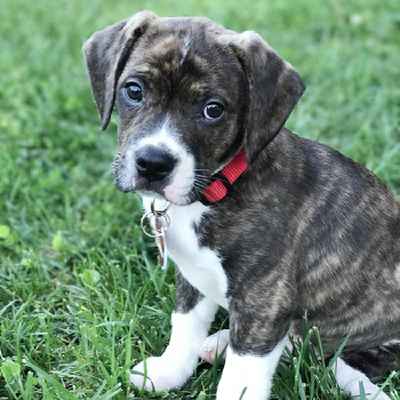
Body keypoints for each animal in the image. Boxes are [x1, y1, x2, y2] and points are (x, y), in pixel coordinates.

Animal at [83, 10, 398, 398]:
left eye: (213, 110)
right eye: (134, 90)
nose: (153, 164)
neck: (216, 189)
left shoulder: (264, 300)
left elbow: (242, 371)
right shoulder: (194, 276)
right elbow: (184, 325)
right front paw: (170, 371)